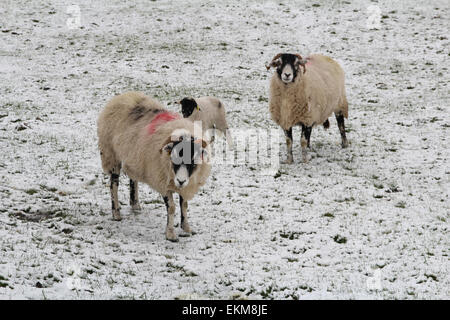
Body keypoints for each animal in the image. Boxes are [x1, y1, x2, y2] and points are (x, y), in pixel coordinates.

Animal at [96, 91, 211, 241]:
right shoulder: (162, 181)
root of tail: (122, 96)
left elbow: (184, 205)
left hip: (134, 156)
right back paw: (116, 213)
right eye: (174, 157)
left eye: (192, 160)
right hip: (111, 154)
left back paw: (135, 204)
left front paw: (186, 227)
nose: (180, 181)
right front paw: (170, 234)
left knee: (133, 179)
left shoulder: (187, 184)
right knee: (114, 184)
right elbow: (172, 207)